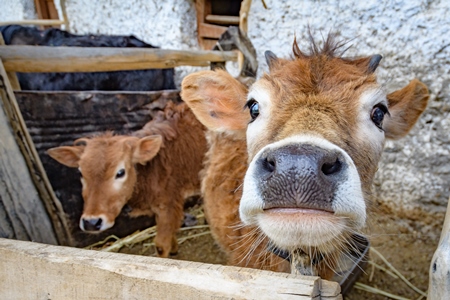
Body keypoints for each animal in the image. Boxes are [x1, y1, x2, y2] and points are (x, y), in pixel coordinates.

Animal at [48, 102, 207, 256]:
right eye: (81, 173)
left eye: (120, 172)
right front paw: (174, 249)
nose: (91, 222)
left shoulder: (168, 203)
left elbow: (161, 245)